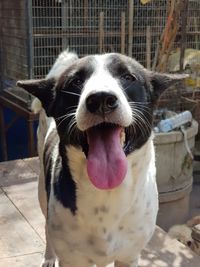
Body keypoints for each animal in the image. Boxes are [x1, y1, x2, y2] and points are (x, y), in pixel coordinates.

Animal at [16, 50, 187, 267]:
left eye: (128, 77)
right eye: (76, 81)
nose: (101, 99)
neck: (105, 194)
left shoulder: (129, 257)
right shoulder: (72, 260)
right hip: (41, 190)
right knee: (46, 225)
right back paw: (48, 256)